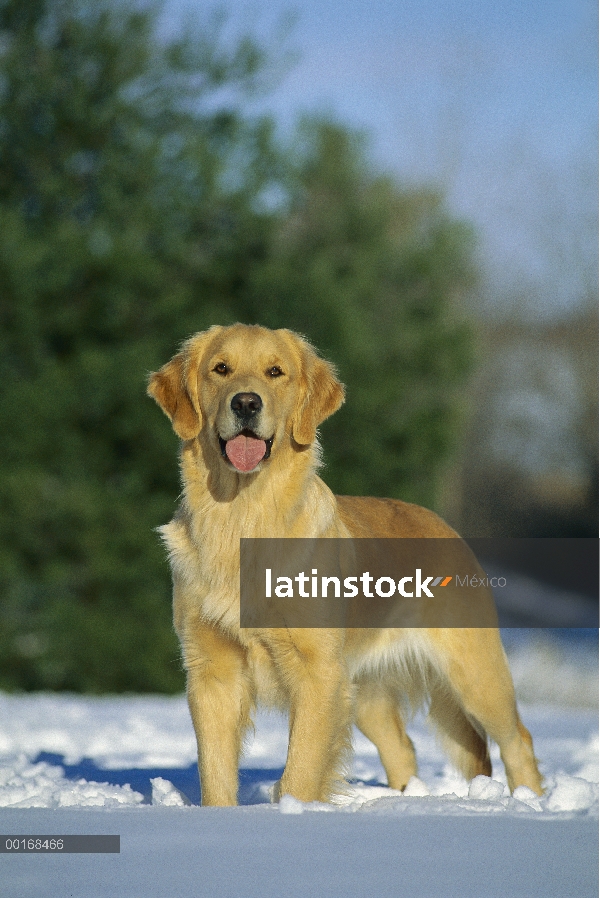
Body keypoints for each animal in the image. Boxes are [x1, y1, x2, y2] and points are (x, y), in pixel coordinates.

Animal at [148, 324, 540, 804]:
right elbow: (216, 771)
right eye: (220, 369)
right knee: (403, 748)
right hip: (365, 692)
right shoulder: (212, 670)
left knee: (518, 739)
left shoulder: (318, 671)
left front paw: (294, 808)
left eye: (275, 372)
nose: (246, 403)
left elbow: (300, 770)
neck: (244, 514)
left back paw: (533, 802)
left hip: (474, 674)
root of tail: (445, 525)